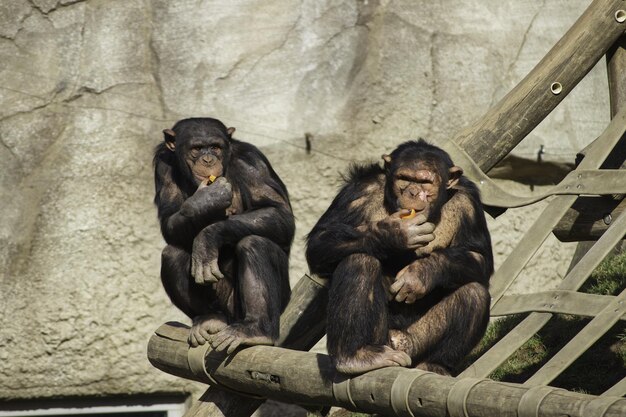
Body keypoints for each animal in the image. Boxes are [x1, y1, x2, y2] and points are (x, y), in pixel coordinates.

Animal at [155, 116, 294, 352]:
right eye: (197, 148)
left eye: (216, 147)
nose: (208, 159)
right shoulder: (162, 166)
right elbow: (169, 220)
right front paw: (206, 200)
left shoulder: (252, 162)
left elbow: (277, 211)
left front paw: (207, 237)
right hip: (223, 308)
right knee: (172, 253)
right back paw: (208, 319)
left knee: (255, 243)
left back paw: (256, 330)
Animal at [306, 139, 492, 374]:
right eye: (404, 178)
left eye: (425, 182)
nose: (412, 192)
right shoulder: (359, 190)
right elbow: (321, 240)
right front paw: (395, 233)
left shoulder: (469, 201)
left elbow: (479, 256)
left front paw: (421, 273)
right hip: (382, 339)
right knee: (359, 261)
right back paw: (354, 356)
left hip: (415, 344)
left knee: (474, 292)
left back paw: (434, 365)